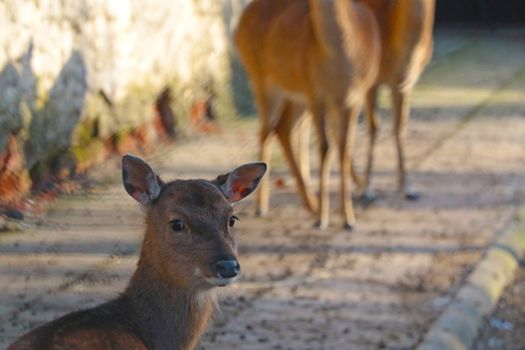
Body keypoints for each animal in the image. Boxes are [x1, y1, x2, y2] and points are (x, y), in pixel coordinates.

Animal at [235, 0, 378, 230]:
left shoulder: (353, 98)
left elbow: (344, 149)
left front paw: (348, 218)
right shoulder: (315, 94)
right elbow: (325, 148)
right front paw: (323, 219)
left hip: (295, 97)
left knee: (283, 129)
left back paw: (311, 204)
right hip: (264, 81)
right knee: (266, 131)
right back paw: (263, 207)